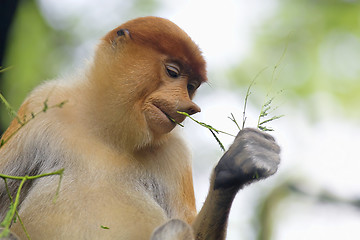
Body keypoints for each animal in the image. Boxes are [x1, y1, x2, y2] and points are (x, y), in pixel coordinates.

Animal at [0, 15, 282, 239]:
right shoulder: (38, 106)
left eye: (191, 87)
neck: (109, 132)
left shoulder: (176, 152)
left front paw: (236, 168)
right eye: (172, 72)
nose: (190, 106)